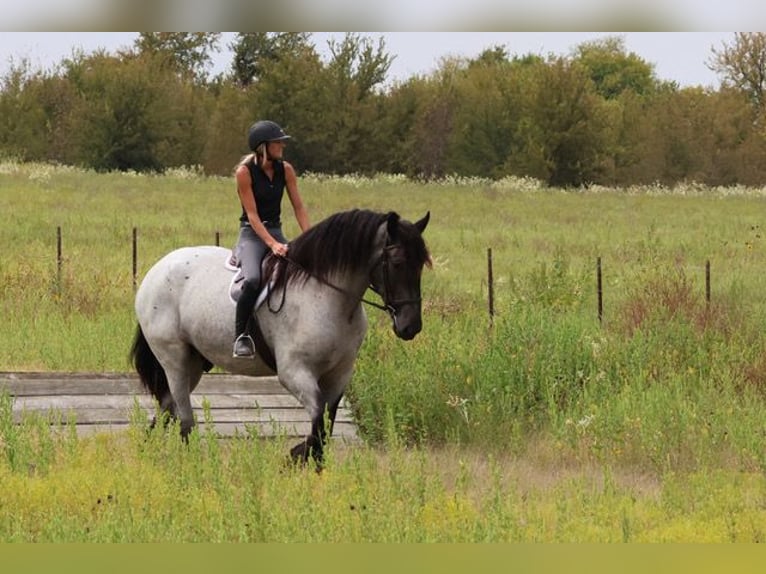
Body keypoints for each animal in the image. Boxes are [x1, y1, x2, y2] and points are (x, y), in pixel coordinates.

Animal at [130, 208, 431, 467]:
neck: (328, 297)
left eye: (421, 265)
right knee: (184, 419)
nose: (410, 327)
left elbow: (326, 425)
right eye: (397, 263)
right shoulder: (295, 372)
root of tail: (156, 270)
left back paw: (147, 453)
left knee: (167, 407)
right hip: (174, 357)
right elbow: (318, 422)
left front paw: (312, 466)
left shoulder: (339, 374)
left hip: (194, 362)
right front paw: (295, 457)